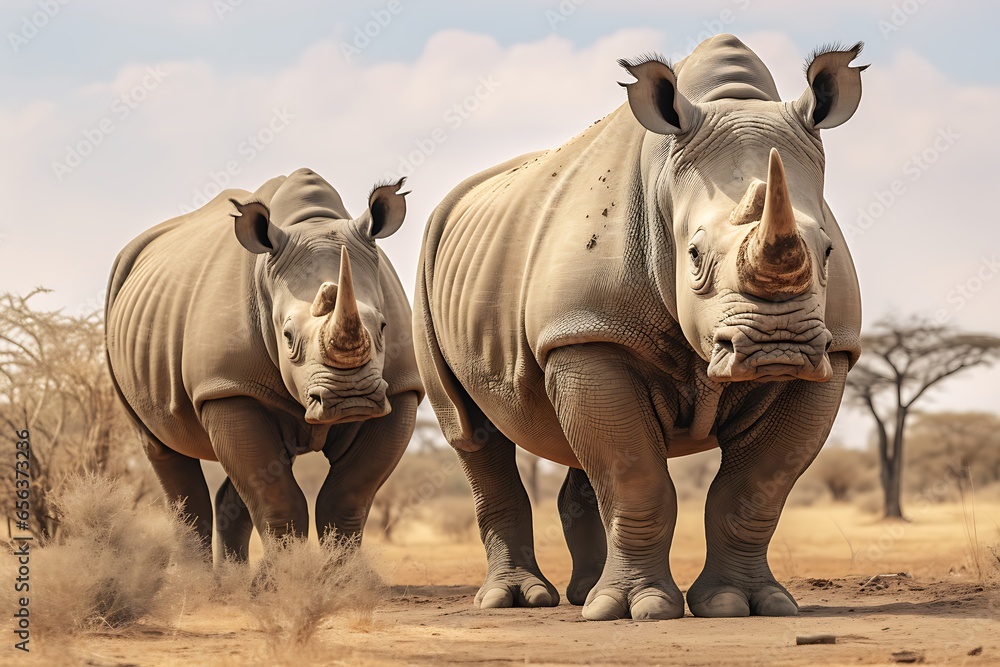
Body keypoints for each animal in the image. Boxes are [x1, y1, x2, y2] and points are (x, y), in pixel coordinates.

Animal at [106, 168, 423, 558]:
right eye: (287, 336)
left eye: (382, 326)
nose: (351, 399)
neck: (311, 223)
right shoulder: (227, 386)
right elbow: (277, 500)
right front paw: (286, 575)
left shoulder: (401, 388)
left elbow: (346, 499)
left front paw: (342, 573)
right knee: (162, 450)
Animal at [414, 35, 864, 620]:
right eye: (693, 255)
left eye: (827, 250)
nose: (776, 346)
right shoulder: (590, 330)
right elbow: (635, 479)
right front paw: (637, 610)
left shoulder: (834, 352)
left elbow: (756, 490)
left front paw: (746, 604)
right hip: (439, 265)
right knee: (469, 430)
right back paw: (516, 601)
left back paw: (583, 594)